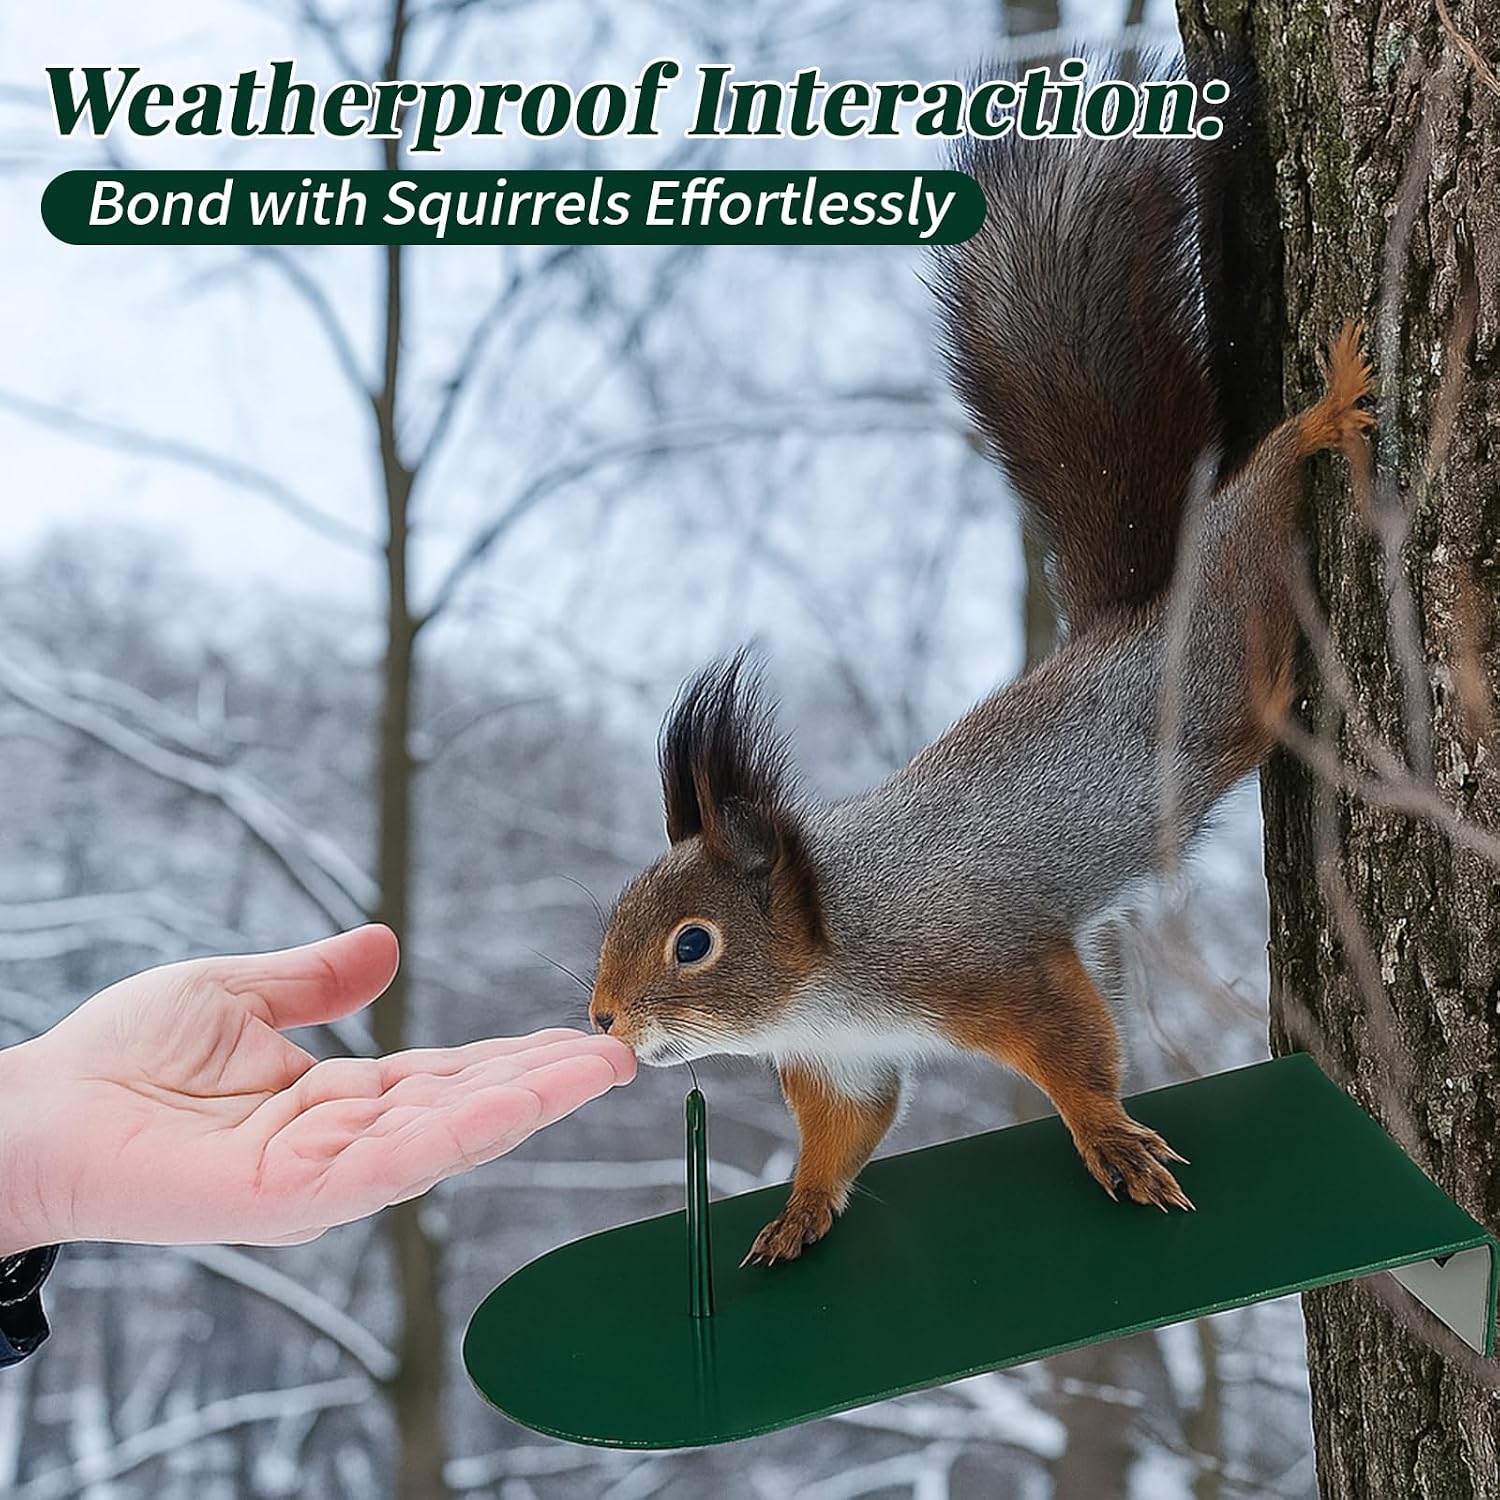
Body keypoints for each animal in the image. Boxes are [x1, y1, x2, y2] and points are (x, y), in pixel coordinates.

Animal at [588, 112, 1374, 1266]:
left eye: (695, 944)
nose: (602, 1017)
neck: (827, 961)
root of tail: (1132, 622)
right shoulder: (845, 1057)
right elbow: (847, 1133)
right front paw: (798, 1212)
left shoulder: (991, 964)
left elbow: (1075, 1051)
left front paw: (1107, 1138)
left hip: (1219, 643)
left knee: (1250, 521)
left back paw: (1317, 420)